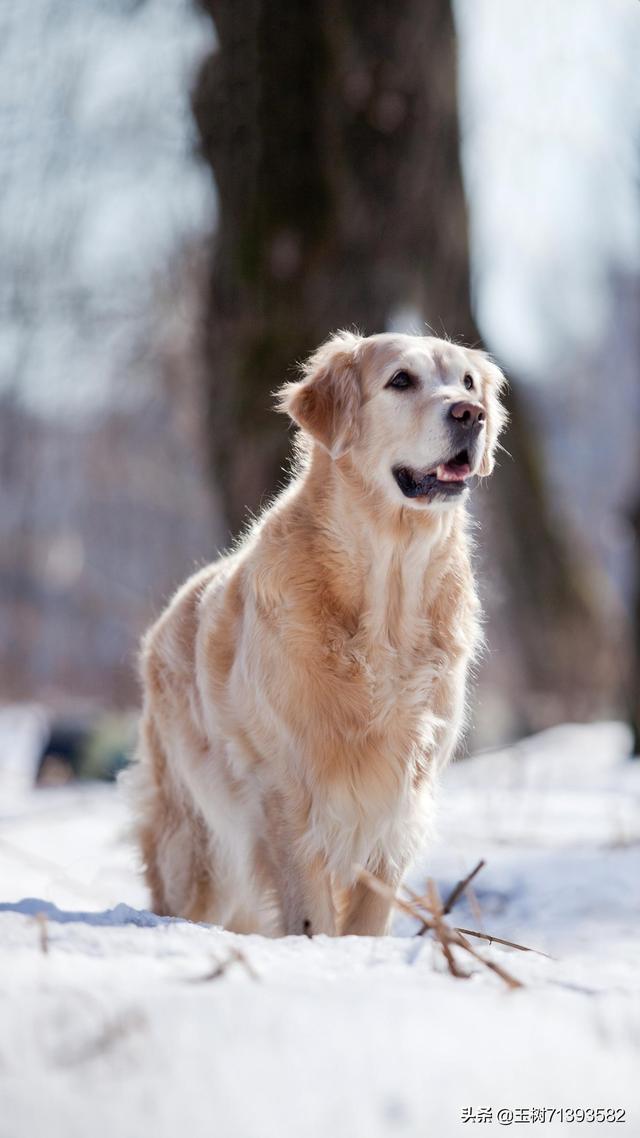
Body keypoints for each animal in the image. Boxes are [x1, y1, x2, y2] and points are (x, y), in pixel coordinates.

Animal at [126, 330, 505, 933]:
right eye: (401, 380)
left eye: (467, 382)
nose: (471, 413)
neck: (387, 600)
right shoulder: (291, 796)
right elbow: (311, 915)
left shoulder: (398, 800)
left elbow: (368, 917)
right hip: (196, 842)